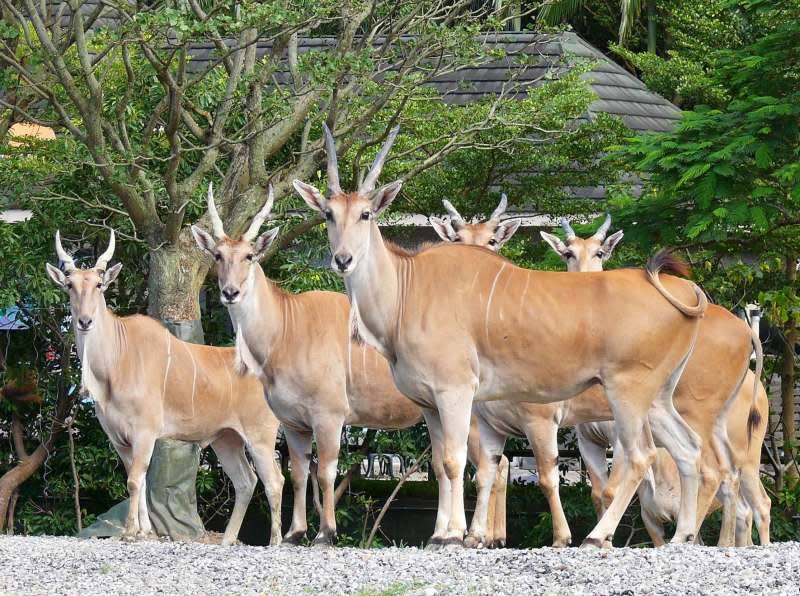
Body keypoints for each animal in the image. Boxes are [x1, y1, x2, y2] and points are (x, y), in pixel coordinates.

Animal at [46, 232, 284, 544]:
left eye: (99, 284)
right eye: (69, 285)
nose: (85, 321)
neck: (115, 361)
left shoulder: (144, 432)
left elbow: (134, 481)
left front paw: (131, 531)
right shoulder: (119, 439)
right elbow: (139, 479)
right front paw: (145, 530)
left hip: (260, 436)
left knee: (274, 480)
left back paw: (276, 540)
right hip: (226, 438)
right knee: (246, 481)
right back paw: (227, 540)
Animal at [294, 125, 724, 548]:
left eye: (366, 213)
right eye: (328, 214)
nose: (343, 259)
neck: (407, 288)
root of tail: (684, 290)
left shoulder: (456, 392)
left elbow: (454, 462)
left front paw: (454, 536)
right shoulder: (431, 404)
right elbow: (445, 464)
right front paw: (441, 534)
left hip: (629, 392)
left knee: (642, 457)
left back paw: (597, 537)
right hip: (659, 397)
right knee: (688, 450)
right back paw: (682, 535)